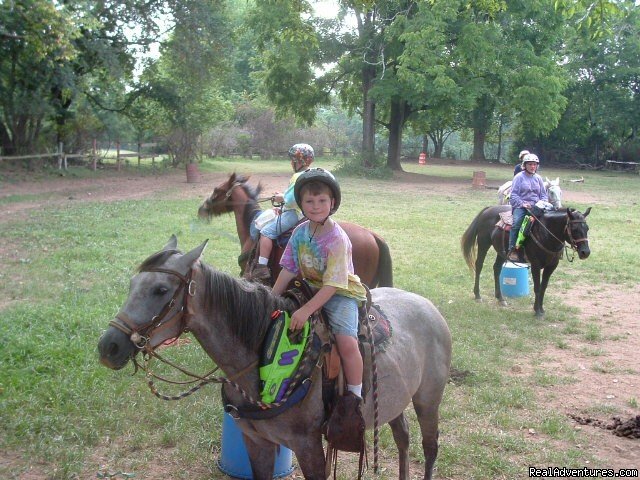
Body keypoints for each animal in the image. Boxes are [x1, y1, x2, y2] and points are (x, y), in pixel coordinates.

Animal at [97, 236, 452, 480]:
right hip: (394, 399)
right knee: (403, 437)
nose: (108, 347)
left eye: (160, 290)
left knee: (430, 446)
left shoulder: (309, 448)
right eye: (132, 283)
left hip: (428, 399)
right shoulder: (256, 442)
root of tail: (428, 306)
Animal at [460, 204, 592, 316]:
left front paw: (541, 309)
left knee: (496, 269)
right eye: (574, 228)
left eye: (587, 228)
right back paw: (478, 295)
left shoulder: (551, 266)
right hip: (483, 244)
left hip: (501, 252)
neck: (545, 233)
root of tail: (488, 209)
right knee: (479, 265)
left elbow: (543, 287)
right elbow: (537, 287)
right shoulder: (535, 265)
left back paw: (500, 298)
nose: (585, 252)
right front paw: (537, 311)